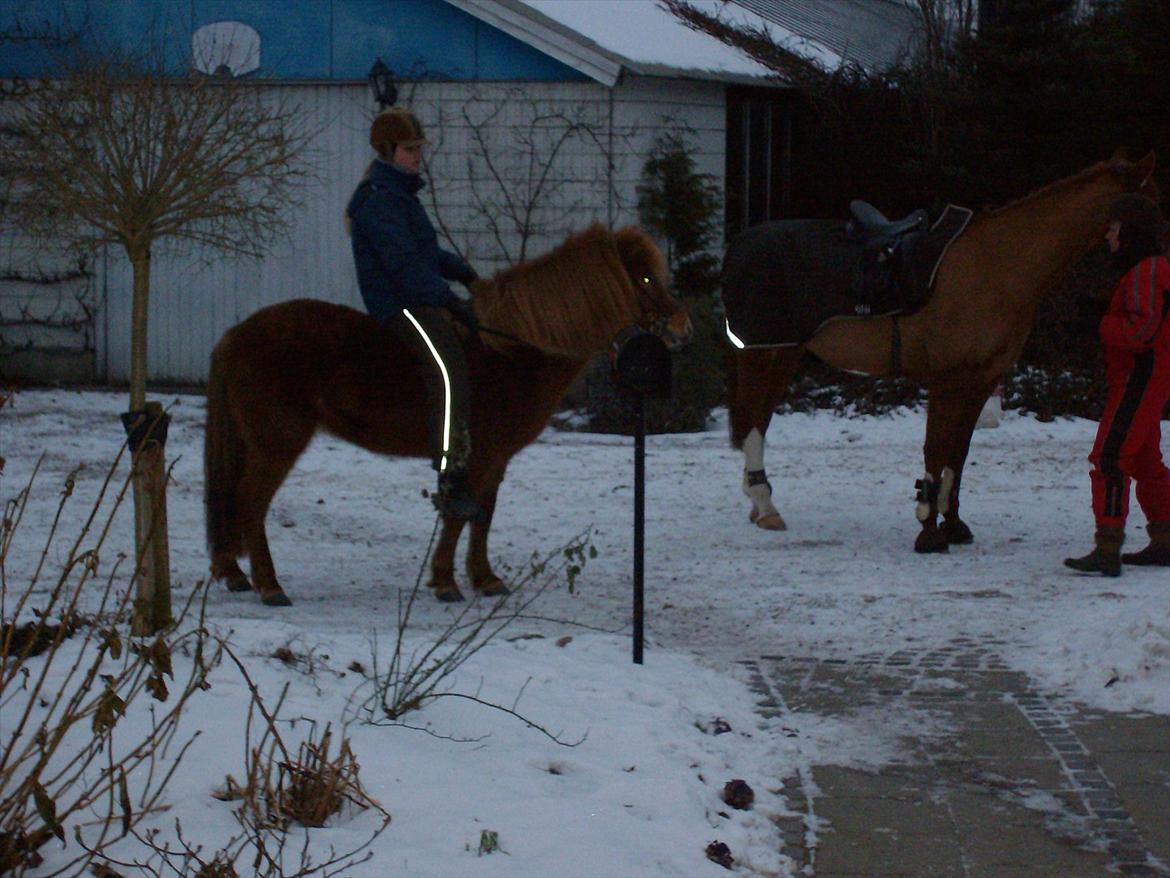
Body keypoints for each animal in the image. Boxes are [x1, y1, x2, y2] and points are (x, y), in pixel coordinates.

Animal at [205, 224, 687, 604]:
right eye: (645, 276)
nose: (685, 327)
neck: (510, 351)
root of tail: (236, 334)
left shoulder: (497, 458)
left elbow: (483, 514)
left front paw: (484, 579)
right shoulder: (479, 455)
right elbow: (460, 514)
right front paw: (445, 581)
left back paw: (234, 573)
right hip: (277, 443)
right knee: (249, 502)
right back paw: (270, 586)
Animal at [725, 148, 1155, 552]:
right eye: (1147, 201)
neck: (998, 267)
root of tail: (740, 244)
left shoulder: (981, 380)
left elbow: (957, 455)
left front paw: (954, 524)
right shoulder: (948, 377)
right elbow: (936, 450)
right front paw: (928, 530)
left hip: (785, 352)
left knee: (759, 418)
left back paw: (757, 502)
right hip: (758, 351)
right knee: (751, 422)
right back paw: (765, 506)